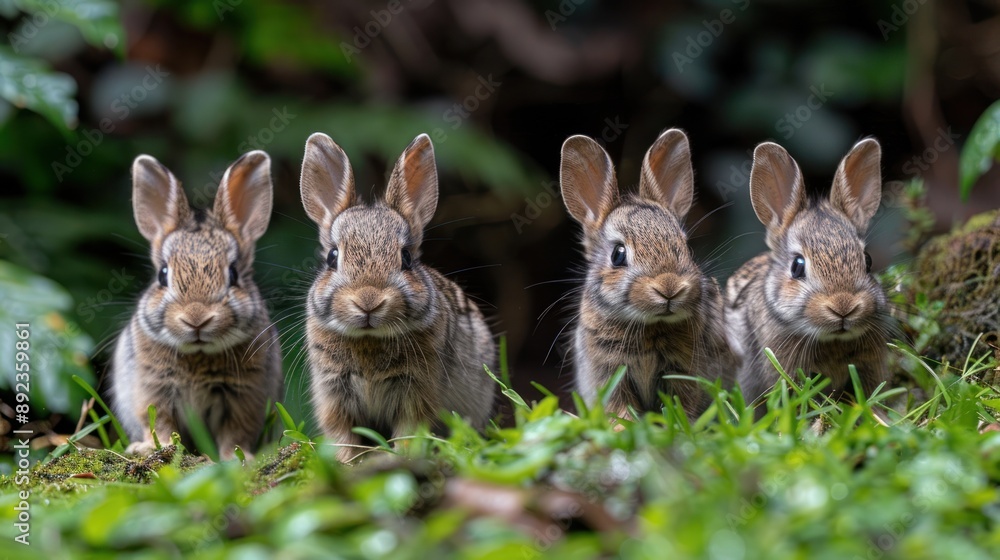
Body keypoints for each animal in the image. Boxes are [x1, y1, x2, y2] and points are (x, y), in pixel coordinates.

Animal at [110, 151, 283, 461]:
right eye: (162, 275)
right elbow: (159, 424)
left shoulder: (244, 398)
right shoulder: (153, 390)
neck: (198, 354)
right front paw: (154, 448)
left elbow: (235, 432)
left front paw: (237, 458)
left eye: (233, 274)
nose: (196, 318)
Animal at [299, 132, 497, 462]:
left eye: (406, 258)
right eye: (332, 257)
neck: (369, 339)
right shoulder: (334, 391)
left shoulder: (417, 390)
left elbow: (409, 428)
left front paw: (402, 455)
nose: (368, 301)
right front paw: (346, 461)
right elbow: (342, 433)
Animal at [560, 129, 738, 421]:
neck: (649, 324)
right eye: (618, 254)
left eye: (686, 247)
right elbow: (618, 408)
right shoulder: (608, 374)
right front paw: (621, 426)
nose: (669, 287)